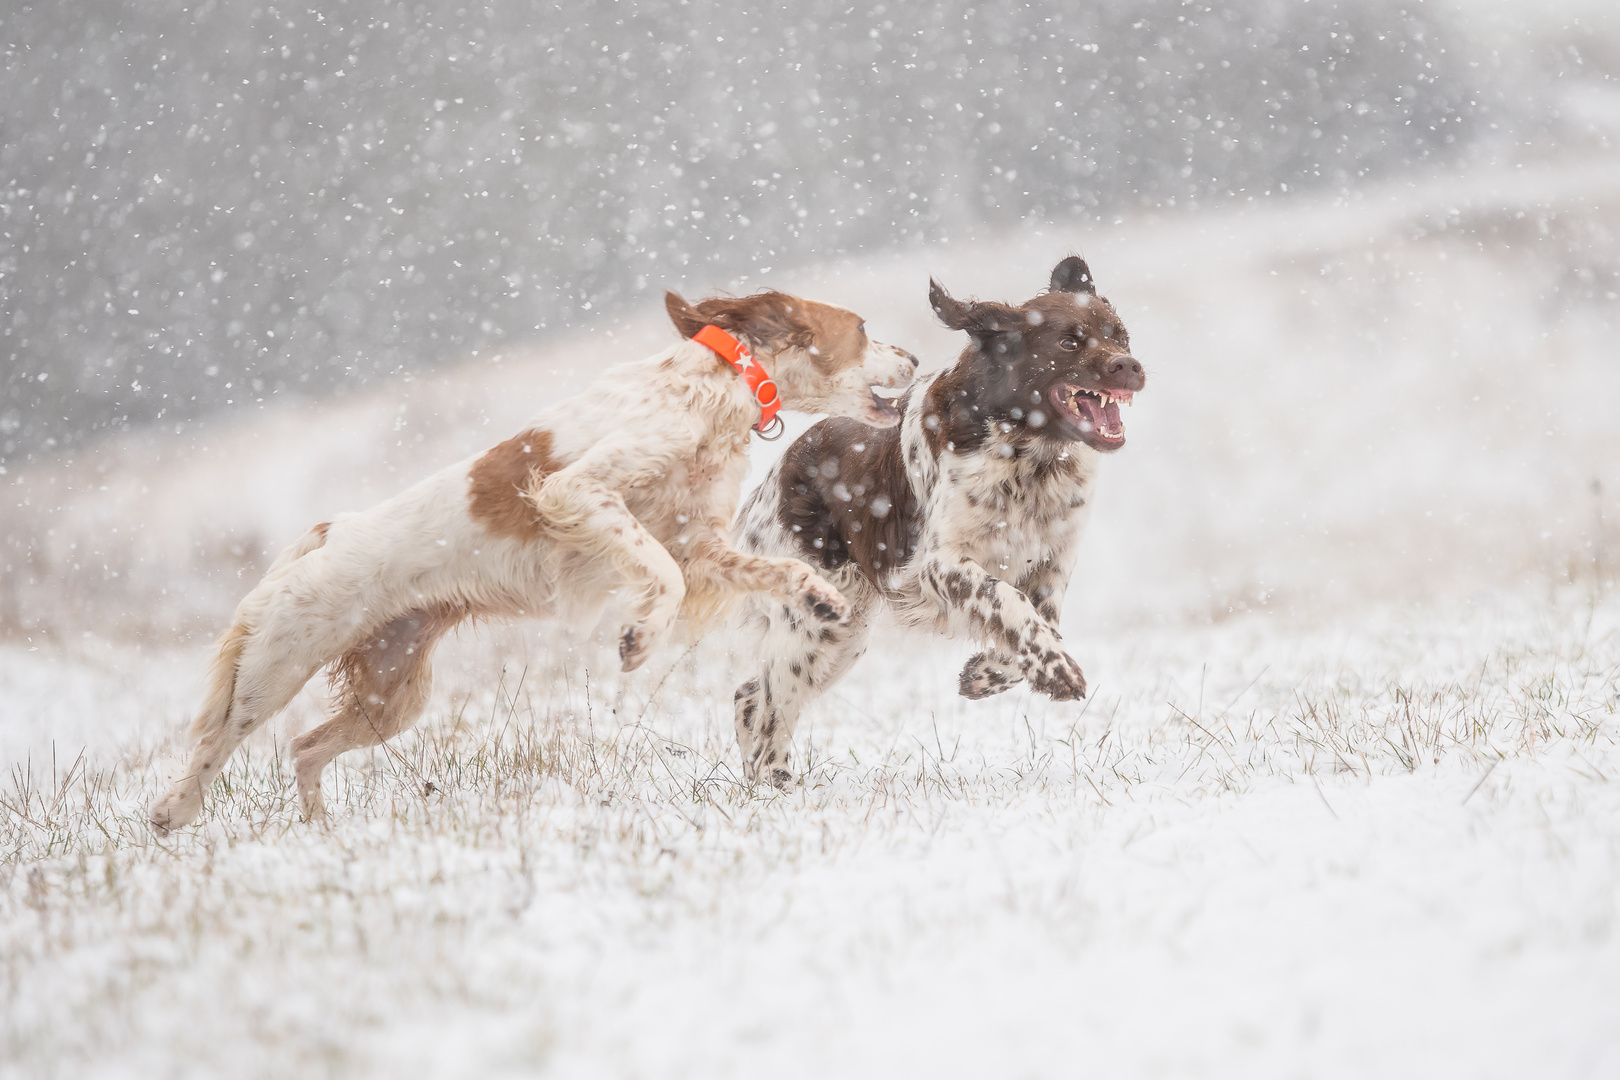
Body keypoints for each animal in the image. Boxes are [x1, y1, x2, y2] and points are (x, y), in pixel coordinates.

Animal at [153, 286, 926, 829]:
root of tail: (328, 528)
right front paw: (639, 638)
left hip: (392, 694)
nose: (918, 358)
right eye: (863, 329)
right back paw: (172, 812)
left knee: (305, 748)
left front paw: (820, 595)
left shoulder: (698, 541)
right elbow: (660, 575)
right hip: (279, 662)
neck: (711, 391)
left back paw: (320, 832)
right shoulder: (580, 490)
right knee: (221, 736)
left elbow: (765, 569)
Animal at [729, 257, 1146, 790]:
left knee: (749, 694)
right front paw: (1057, 673)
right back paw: (776, 779)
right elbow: (1007, 601)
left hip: (842, 632)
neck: (1029, 451)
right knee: (768, 704)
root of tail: (776, 474)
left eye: (1121, 335)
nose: (1128, 367)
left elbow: (1041, 621)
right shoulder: (939, 562)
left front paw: (984, 674)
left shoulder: (1053, 563)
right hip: (816, 622)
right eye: (1069, 342)